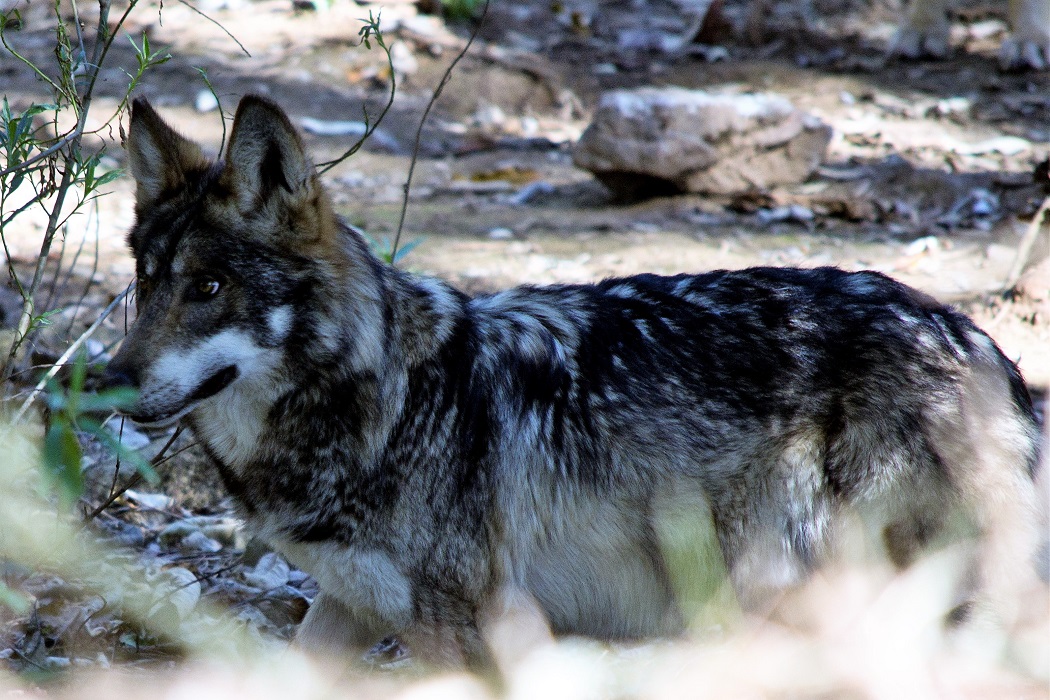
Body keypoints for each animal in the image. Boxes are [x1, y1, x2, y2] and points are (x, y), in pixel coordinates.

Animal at [104, 94, 1041, 671]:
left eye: (209, 288)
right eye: (146, 285)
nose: (102, 382)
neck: (390, 402)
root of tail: (987, 351)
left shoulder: (472, 627)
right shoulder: (349, 606)